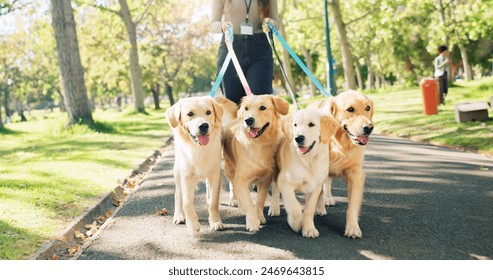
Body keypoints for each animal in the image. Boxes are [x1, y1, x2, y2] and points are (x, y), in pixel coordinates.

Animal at [167, 96, 225, 236]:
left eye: (208, 112)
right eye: (190, 114)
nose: (204, 125)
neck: (199, 149)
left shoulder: (215, 174)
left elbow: (214, 201)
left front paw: (215, 222)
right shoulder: (186, 176)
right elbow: (187, 202)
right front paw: (193, 226)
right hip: (177, 171)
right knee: (178, 194)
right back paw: (179, 216)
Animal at [222, 94, 288, 232]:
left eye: (262, 108)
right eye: (246, 108)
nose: (248, 120)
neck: (259, 144)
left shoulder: (266, 178)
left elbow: (260, 200)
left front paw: (259, 216)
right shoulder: (241, 179)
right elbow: (248, 202)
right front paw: (252, 222)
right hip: (229, 167)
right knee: (232, 184)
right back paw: (234, 199)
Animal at [274, 108, 336, 237]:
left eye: (311, 124)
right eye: (295, 125)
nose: (298, 138)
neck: (308, 160)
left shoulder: (315, 186)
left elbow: (309, 209)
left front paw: (309, 229)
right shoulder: (284, 183)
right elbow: (294, 207)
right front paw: (296, 223)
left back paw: (321, 208)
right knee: (275, 189)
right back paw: (274, 208)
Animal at [312, 90, 372, 238]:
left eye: (368, 108)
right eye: (350, 109)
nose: (369, 128)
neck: (339, 143)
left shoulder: (355, 174)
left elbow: (352, 206)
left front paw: (353, 228)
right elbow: (317, 192)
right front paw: (317, 207)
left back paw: (328, 199)